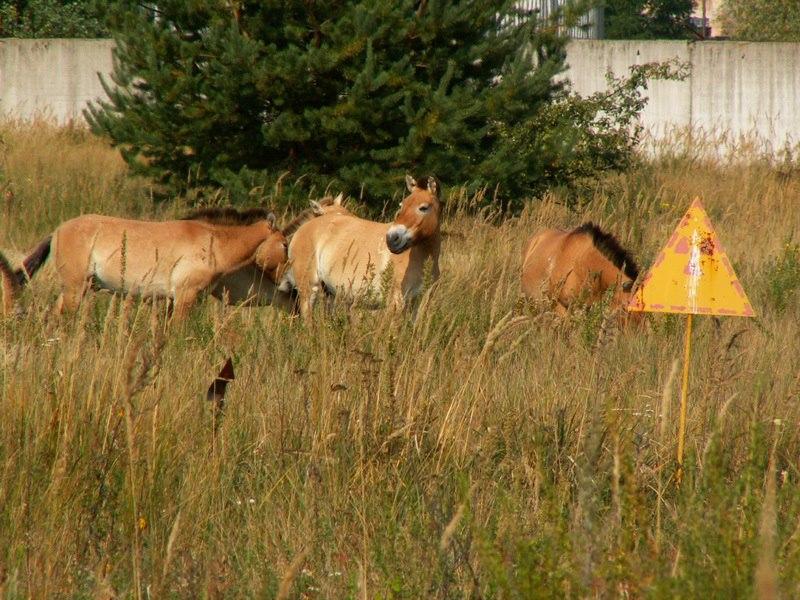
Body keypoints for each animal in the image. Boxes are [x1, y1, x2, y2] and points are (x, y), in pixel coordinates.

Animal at [0, 207, 288, 322]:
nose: (287, 285)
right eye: (285, 245)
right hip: (75, 289)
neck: (213, 241)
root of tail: (57, 231)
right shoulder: (185, 297)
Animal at [282, 176, 444, 322]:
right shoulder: (395, 303)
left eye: (423, 208)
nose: (392, 239)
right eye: (401, 205)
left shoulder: (420, 303)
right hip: (308, 290)